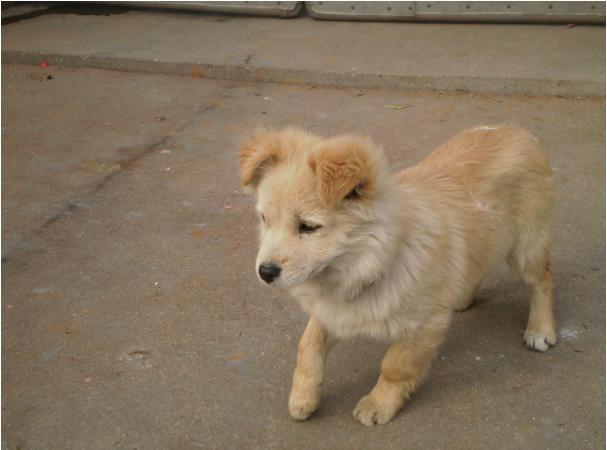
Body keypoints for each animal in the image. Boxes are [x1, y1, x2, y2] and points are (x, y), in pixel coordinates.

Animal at [236, 125, 556, 426]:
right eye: (264, 219)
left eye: (308, 226)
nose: (265, 272)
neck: (366, 263)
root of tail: (515, 130)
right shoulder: (334, 310)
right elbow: (308, 345)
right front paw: (303, 396)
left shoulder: (421, 325)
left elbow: (395, 367)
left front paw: (378, 404)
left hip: (526, 248)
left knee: (542, 281)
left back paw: (541, 329)